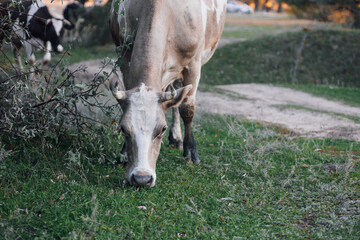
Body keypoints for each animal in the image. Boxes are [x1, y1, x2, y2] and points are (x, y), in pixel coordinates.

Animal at [108, 0, 226, 188]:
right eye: (123, 128)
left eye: (162, 129)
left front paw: (190, 152)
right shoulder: (124, 57)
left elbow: (187, 108)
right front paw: (124, 153)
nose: (142, 178)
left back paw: (178, 139)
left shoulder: (193, 65)